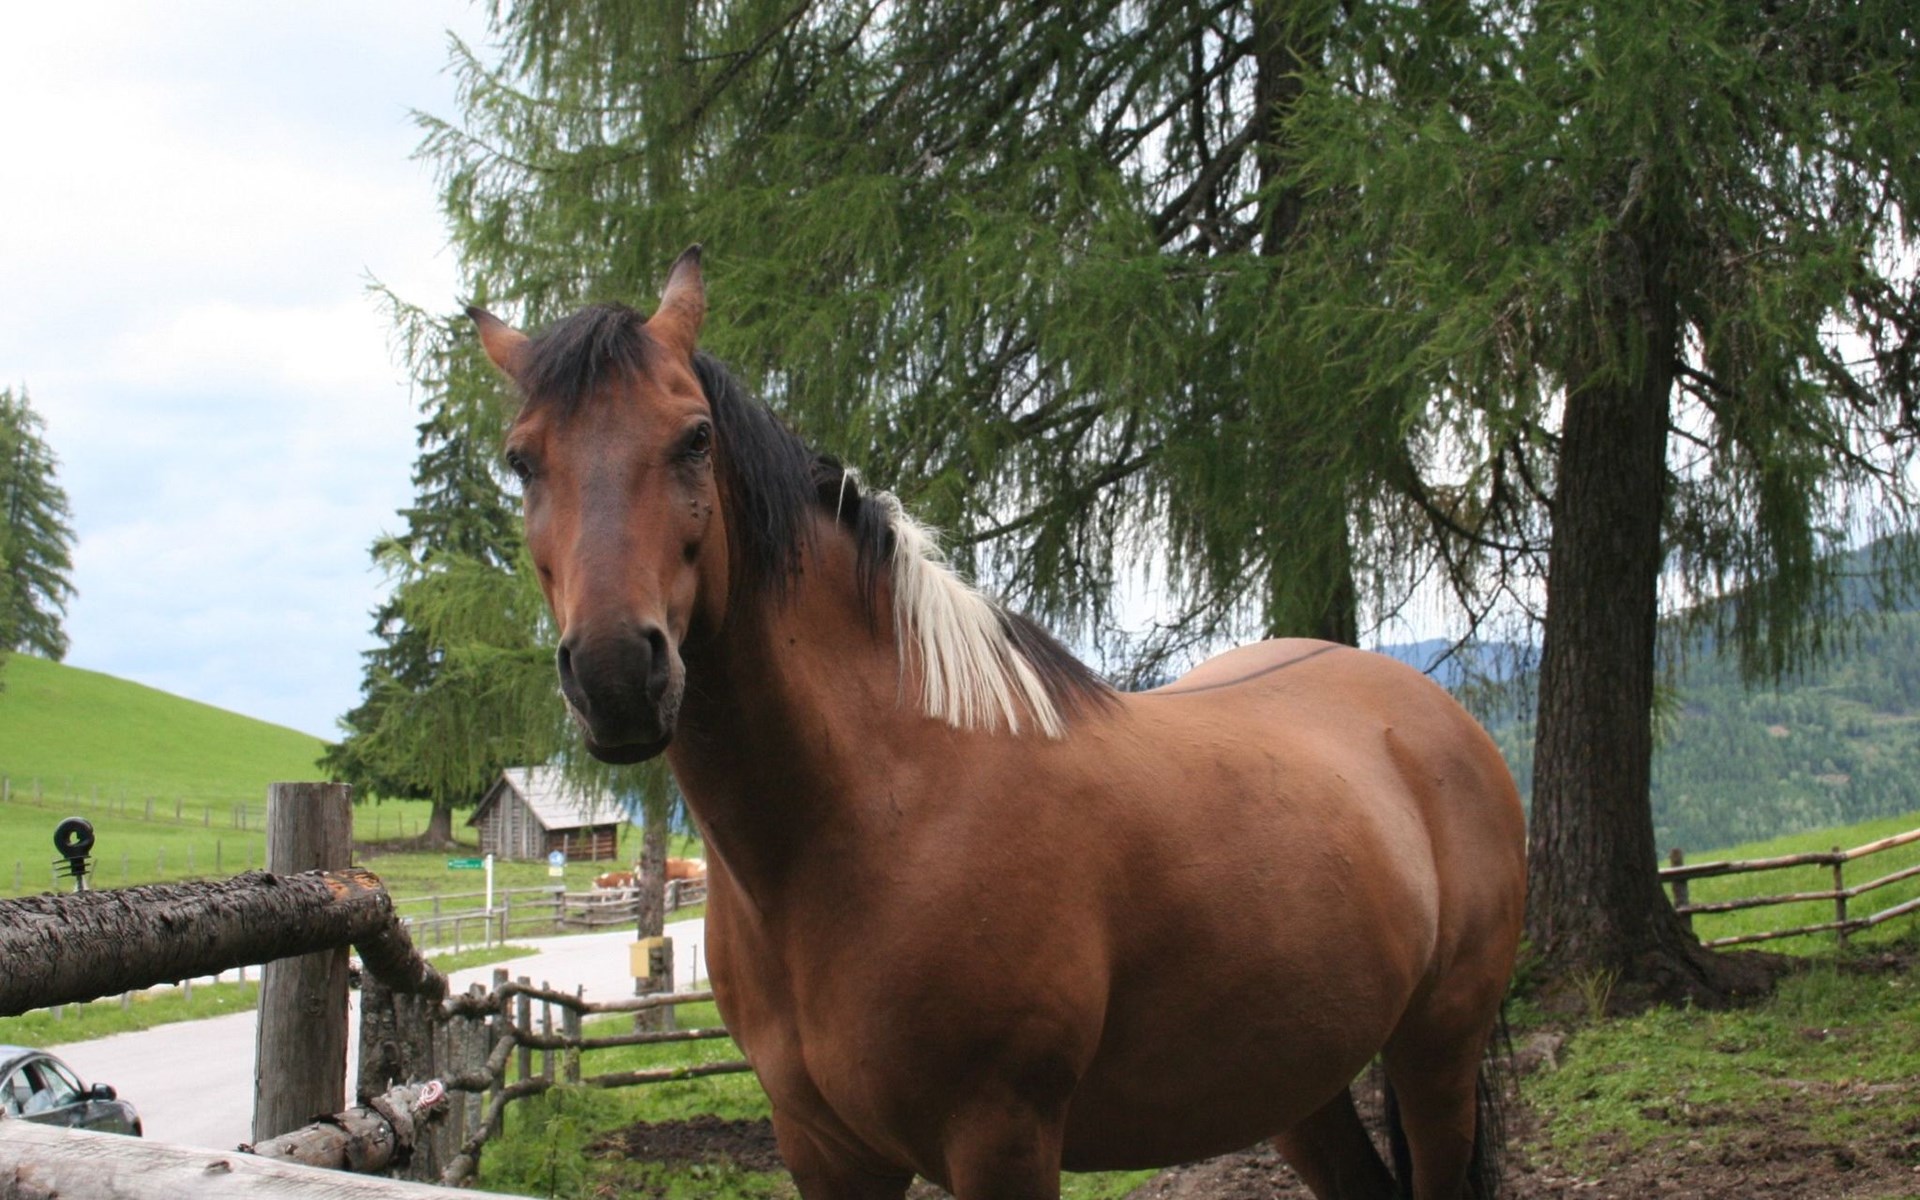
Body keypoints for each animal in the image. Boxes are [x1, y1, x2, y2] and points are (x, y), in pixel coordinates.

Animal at [469, 248, 1526, 1200]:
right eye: (522, 460)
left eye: (693, 438)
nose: (616, 675)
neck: (878, 807)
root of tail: (1433, 714)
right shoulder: (825, 1155)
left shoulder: (1001, 1139)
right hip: (1296, 1080)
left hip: (1435, 1055)